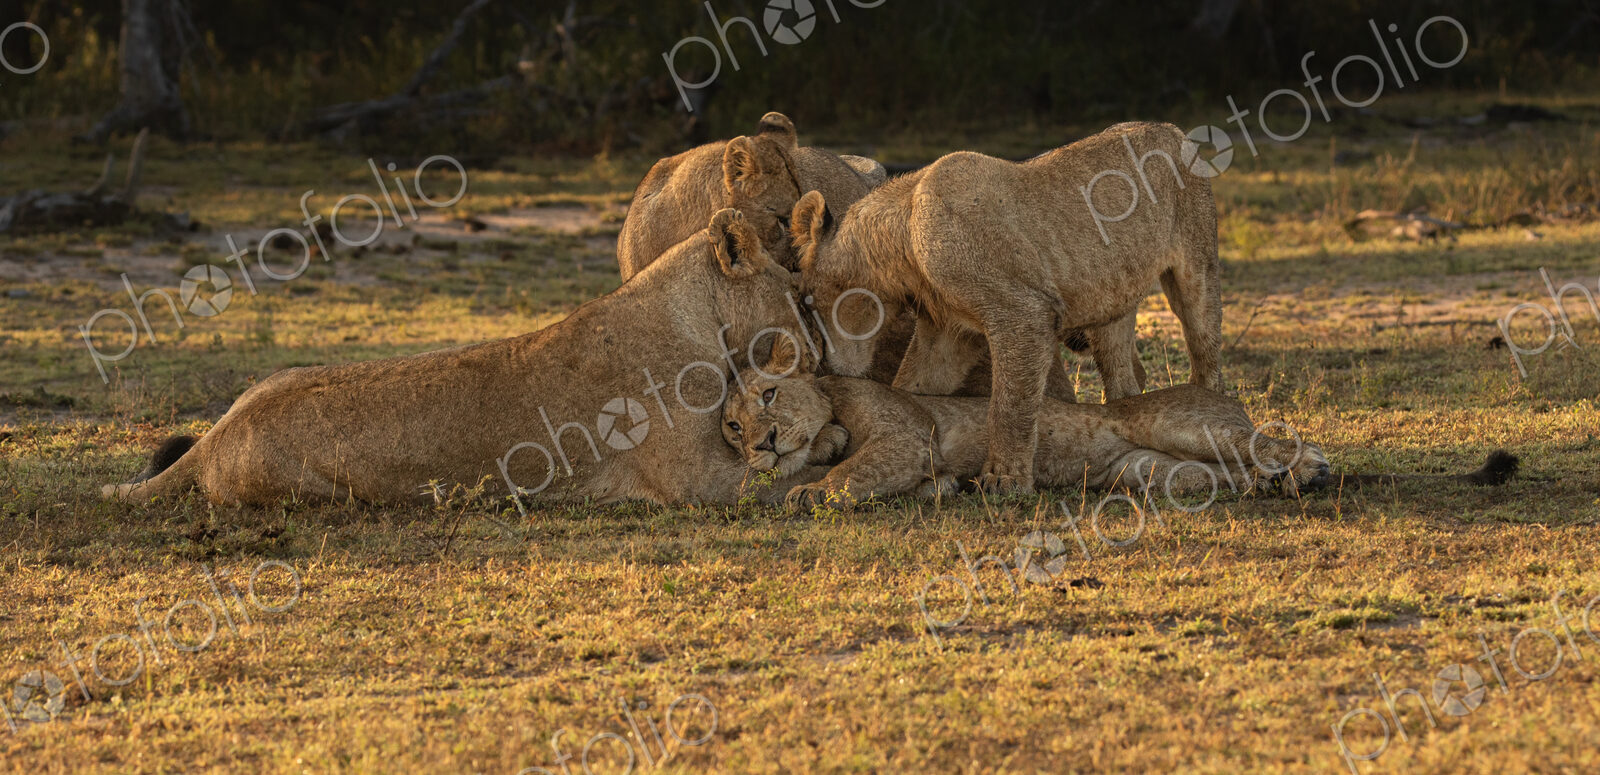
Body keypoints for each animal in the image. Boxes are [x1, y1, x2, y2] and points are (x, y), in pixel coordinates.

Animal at [103, 210, 825, 508]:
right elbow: (787, 477)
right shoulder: (696, 482)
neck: (699, 315)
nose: (820, 349)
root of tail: (214, 441)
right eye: (798, 293)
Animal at [790, 122, 1224, 495]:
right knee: (1122, 374)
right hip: (1113, 301)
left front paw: (1005, 479)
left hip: (1196, 268)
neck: (902, 243)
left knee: (1205, 349)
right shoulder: (948, 332)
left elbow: (1009, 405)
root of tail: (1173, 129)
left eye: (808, 301)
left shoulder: (1022, 314)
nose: (823, 365)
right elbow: (915, 385)